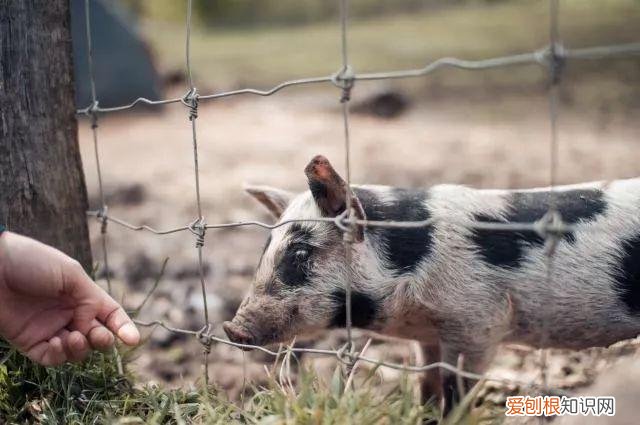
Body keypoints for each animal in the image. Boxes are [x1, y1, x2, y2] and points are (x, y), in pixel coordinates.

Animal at [222, 154, 640, 412]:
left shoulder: (479, 323)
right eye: (265, 249)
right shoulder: (427, 337)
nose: (232, 328)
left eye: (299, 254)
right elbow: (427, 385)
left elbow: (457, 390)